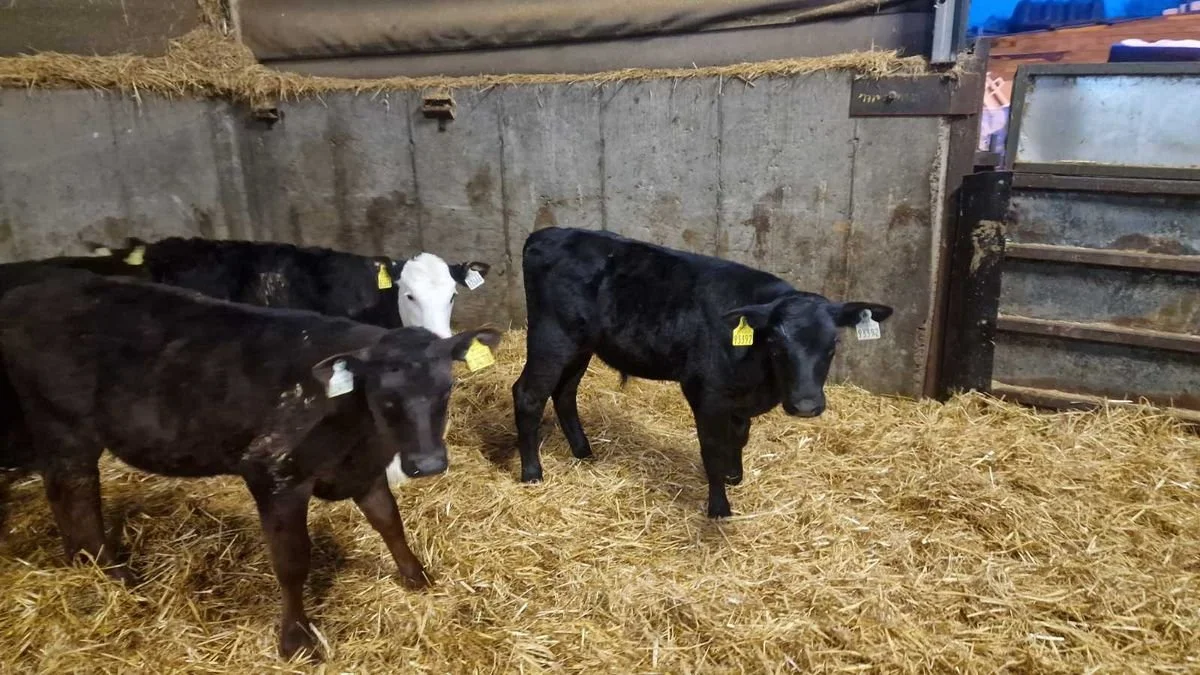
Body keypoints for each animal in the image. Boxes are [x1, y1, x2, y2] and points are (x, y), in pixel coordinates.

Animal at [0, 271, 501, 660]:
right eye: (385, 396)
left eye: (446, 389)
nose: (428, 463)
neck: (352, 424)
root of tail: (29, 293)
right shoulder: (273, 474)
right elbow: (292, 561)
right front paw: (297, 641)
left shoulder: (362, 468)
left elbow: (389, 522)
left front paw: (418, 578)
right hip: (64, 426)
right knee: (75, 491)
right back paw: (111, 573)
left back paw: (83, 564)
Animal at [512, 227, 893, 518]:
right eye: (775, 343)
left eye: (832, 344)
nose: (805, 406)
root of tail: (548, 233)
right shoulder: (705, 393)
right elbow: (712, 447)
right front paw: (719, 508)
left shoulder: (738, 400)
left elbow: (738, 438)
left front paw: (734, 476)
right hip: (552, 336)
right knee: (528, 394)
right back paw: (532, 473)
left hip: (581, 345)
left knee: (564, 393)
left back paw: (583, 452)